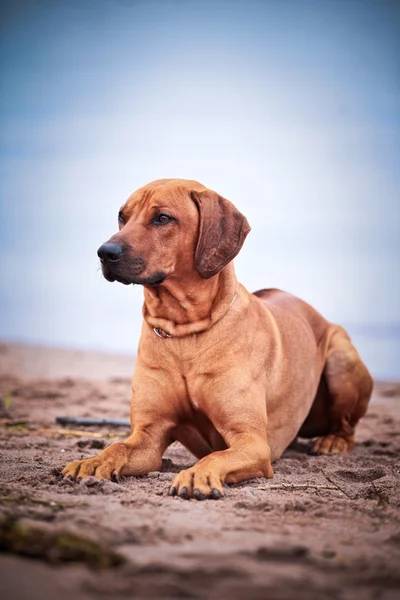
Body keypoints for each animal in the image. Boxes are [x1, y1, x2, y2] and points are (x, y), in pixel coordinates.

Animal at [61, 180, 374, 500]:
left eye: (162, 218)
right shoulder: (148, 435)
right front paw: (93, 461)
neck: (184, 333)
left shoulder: (252, 442)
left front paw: (196, 473)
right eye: (122, 216)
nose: (105, 252)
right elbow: (118, 446)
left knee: (347, 426)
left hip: (341, 359)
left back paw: (332, 441)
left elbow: (218, 455)